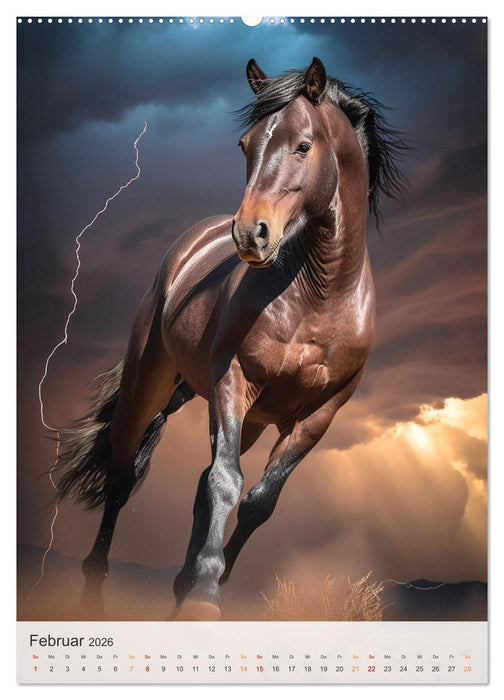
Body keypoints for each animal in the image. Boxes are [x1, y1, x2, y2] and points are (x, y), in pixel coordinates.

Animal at [56, 57, 407, 621]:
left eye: (303, 145)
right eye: (245, 144)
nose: (250, 234)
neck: (321, 292)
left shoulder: (319, 415)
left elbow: (259, 500)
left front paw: (202, 583)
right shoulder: (232, 381)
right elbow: (226, 482)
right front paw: (203, 597)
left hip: (252, 421)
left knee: (199, 480)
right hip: (148, 387)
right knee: (124, 470)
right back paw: (94, 596)